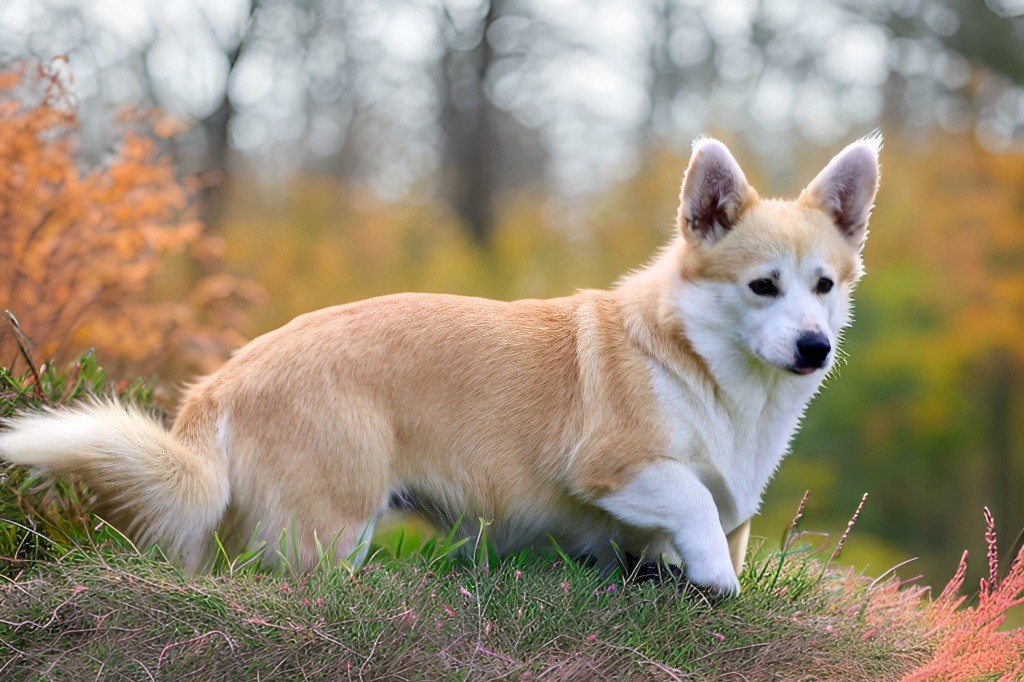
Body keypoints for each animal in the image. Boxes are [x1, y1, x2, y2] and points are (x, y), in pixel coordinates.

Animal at [0, 135, 880, 593]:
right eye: (762, 286)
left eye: (824, 286)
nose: (815, 348)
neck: (711, 368)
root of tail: (220, 385)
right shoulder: (611, 467)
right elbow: (694, 502)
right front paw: (715, 582)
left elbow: (716, 523)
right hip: (334, 525)